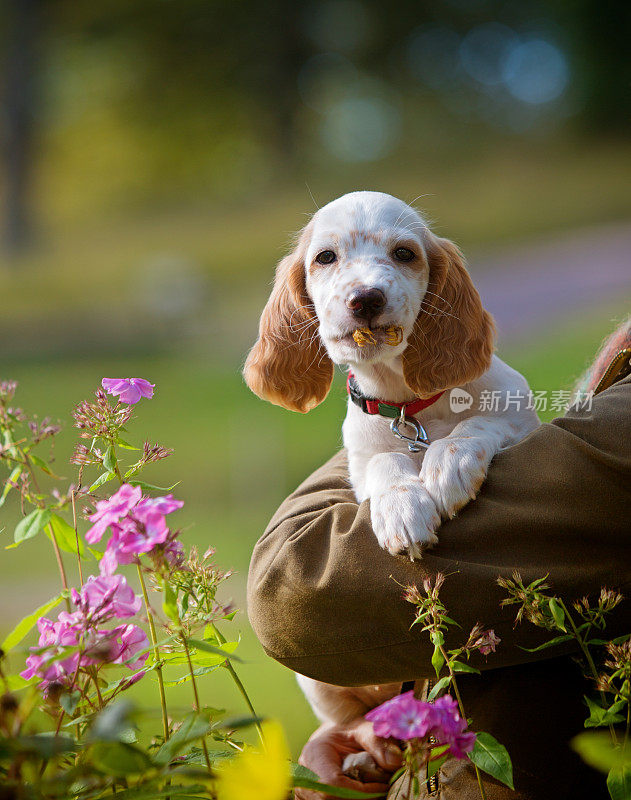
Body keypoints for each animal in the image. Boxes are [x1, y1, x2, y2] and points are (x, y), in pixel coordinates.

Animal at [244, 189, 540, 724]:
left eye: (404, 254)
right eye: (325, 257)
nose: (366, 299)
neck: (407, 405)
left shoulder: (521, 418)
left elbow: (475, 424)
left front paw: (448, 463)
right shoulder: (361, 462)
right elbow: (386, 463)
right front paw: (403, 507)